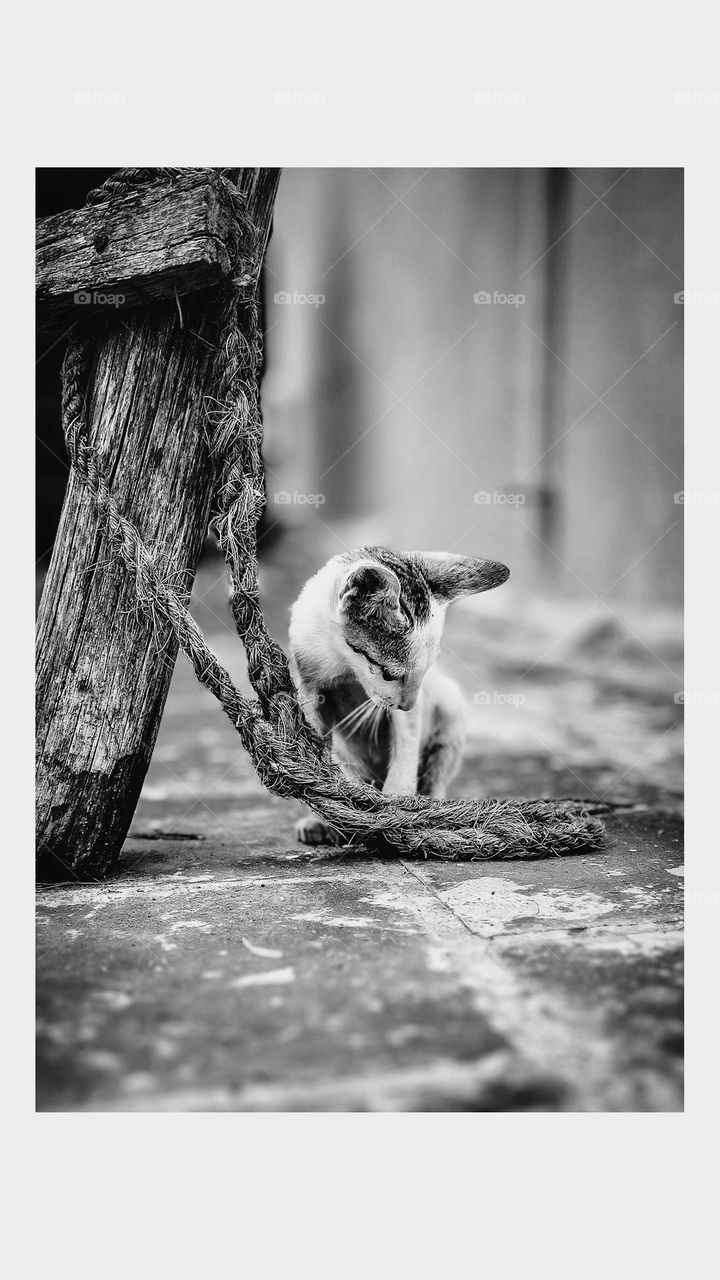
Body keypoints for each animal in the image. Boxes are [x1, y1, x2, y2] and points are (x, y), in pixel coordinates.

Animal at [288, 545, 507, 844]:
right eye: (389, 675)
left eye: (424, 672)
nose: (407, 705)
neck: (342, 663)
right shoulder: (308, 687)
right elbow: (324, 757)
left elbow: (405, 753)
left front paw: (395, 810)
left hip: (450, 709)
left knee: (436, 778)